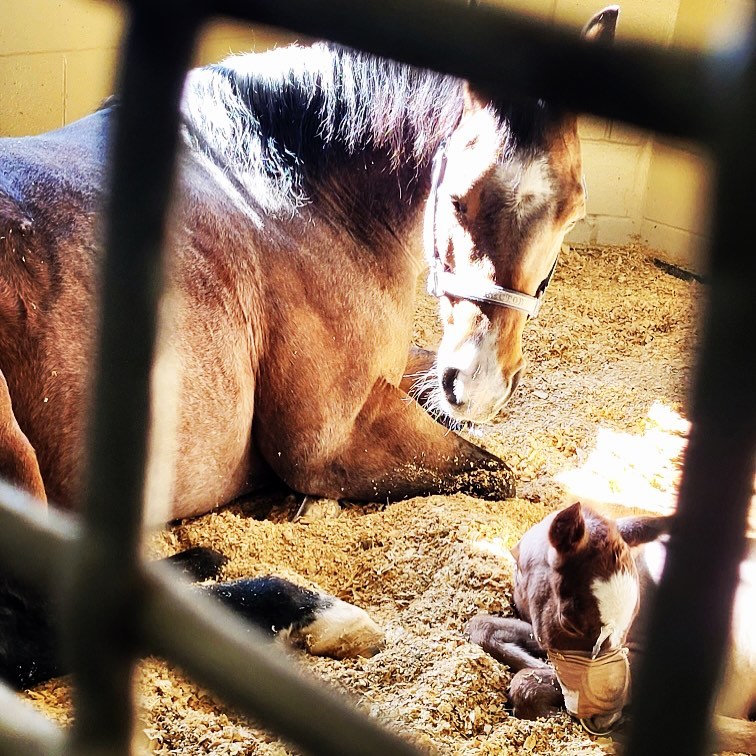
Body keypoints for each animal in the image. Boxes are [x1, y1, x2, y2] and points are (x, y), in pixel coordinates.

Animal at [0, 8, 618, 688]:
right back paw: (312, 613)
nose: (477, 385)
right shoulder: (327, 443)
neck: (292, 195)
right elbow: (496, 473)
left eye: (573, 209)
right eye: (459, 198)